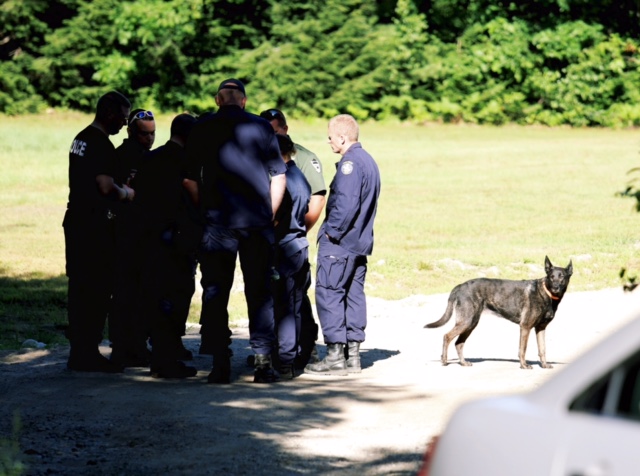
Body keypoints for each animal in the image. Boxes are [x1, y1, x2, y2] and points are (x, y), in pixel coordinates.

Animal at [428, 255, 572, 370]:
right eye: (551, 277)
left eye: (562, 277)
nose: (555, 288)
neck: (546, 293)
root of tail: (459, 286)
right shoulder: (525, 327)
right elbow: (523, 349)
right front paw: (524, 365)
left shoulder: (540, 328)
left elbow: (542, 349)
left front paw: (544, 365)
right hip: (466, 322)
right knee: (447, 336)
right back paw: (444, 360)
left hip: (471, 324)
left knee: (458, 343)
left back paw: (463, 363)